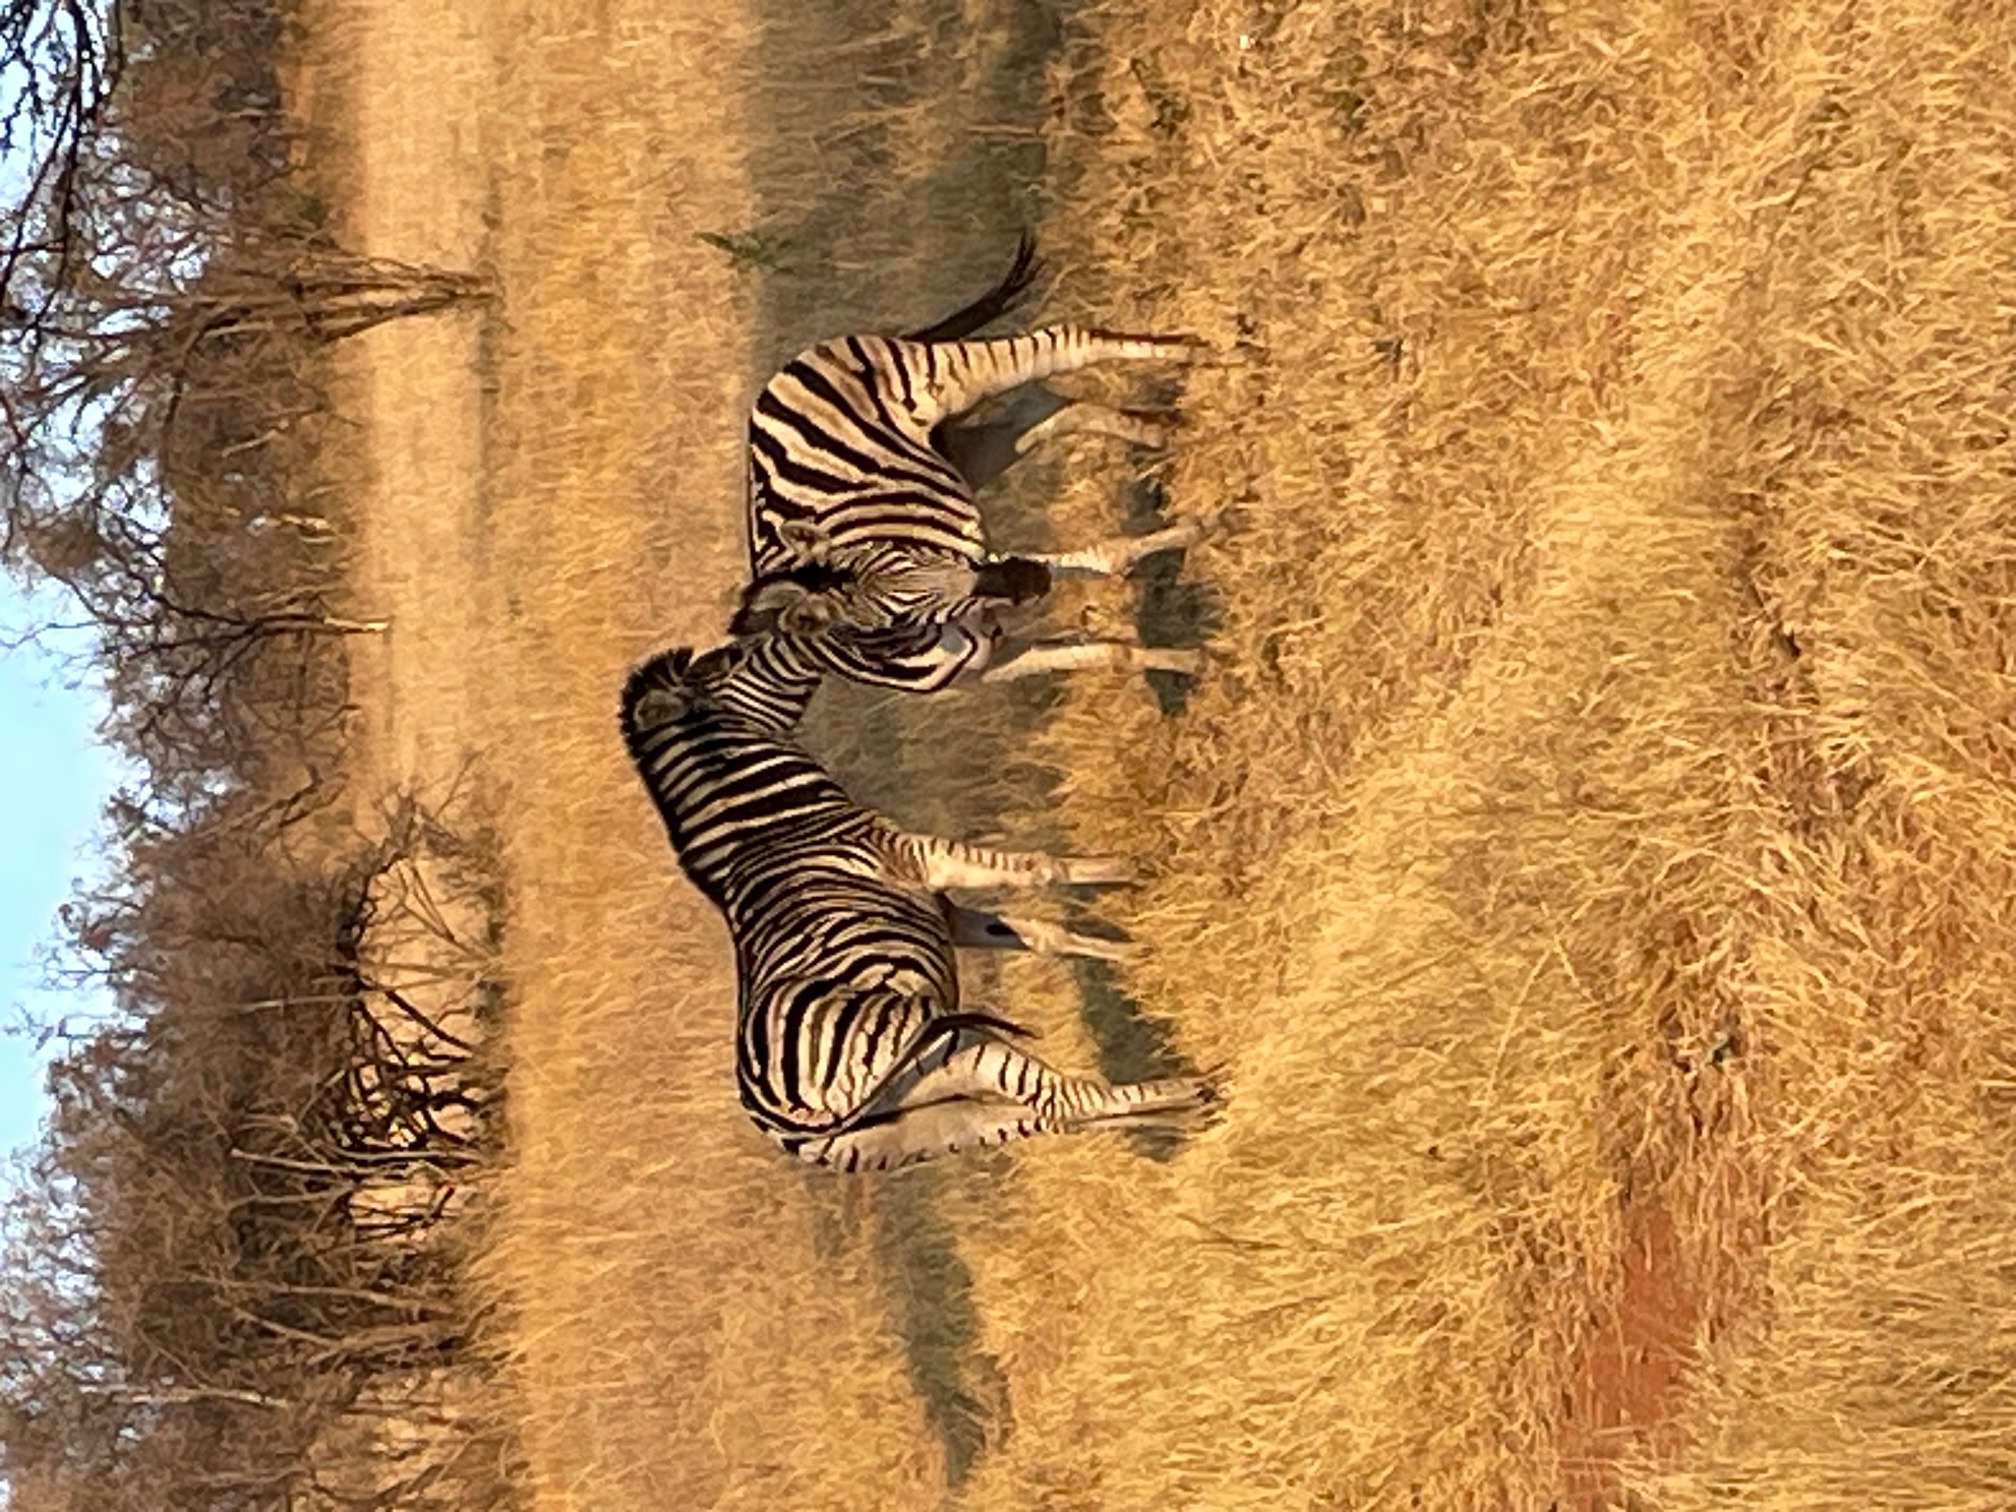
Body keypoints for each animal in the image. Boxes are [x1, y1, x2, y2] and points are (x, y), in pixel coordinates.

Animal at [619, 637, 1217, 1170]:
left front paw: (1135, 950)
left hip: (919, 1125)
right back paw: (1198, 1090)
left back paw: (1184, 1111)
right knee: (1064, 1099)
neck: (772, 821)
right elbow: (1041, 868)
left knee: (1050, 1112)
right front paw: (1140, 865)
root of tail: (784, 1125)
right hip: (948, 1048)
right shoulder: (922, 857)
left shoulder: (940, 907)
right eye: (740, 658)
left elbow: (1041, 934)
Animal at [730, 237, 1215, 692]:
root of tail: (777, 380)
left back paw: (1199, 352)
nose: (1030, 581)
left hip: (952, 377)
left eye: (907, 552)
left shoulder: (975, 559)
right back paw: (1161, 430)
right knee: (1046, 410)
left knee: (1066, 342)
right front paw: (1190, 660)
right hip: (965, 454)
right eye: (900, 622)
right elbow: (1107, 644)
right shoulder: (992, 655)